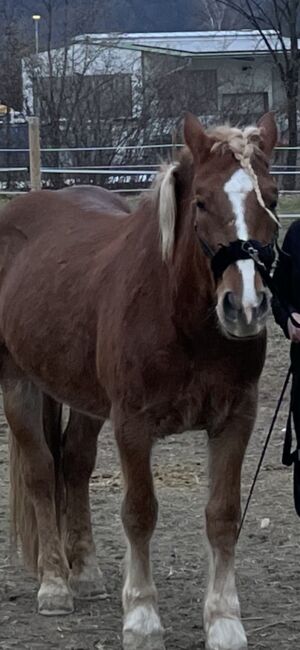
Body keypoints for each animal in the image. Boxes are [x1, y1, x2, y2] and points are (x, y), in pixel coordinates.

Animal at [0, 112, 278, 648]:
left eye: (272, 199)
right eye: (201, 201)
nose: (245, 307)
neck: (179, 318)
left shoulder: (236, 418)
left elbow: (223, 514)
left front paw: (224, 620)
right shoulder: (132, 424)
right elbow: (139, 512)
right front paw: (143, 618)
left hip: (85, 400)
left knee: (75, 465)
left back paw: (85, 573)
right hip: (17, 384)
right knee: (42, 472)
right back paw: (54, 585)